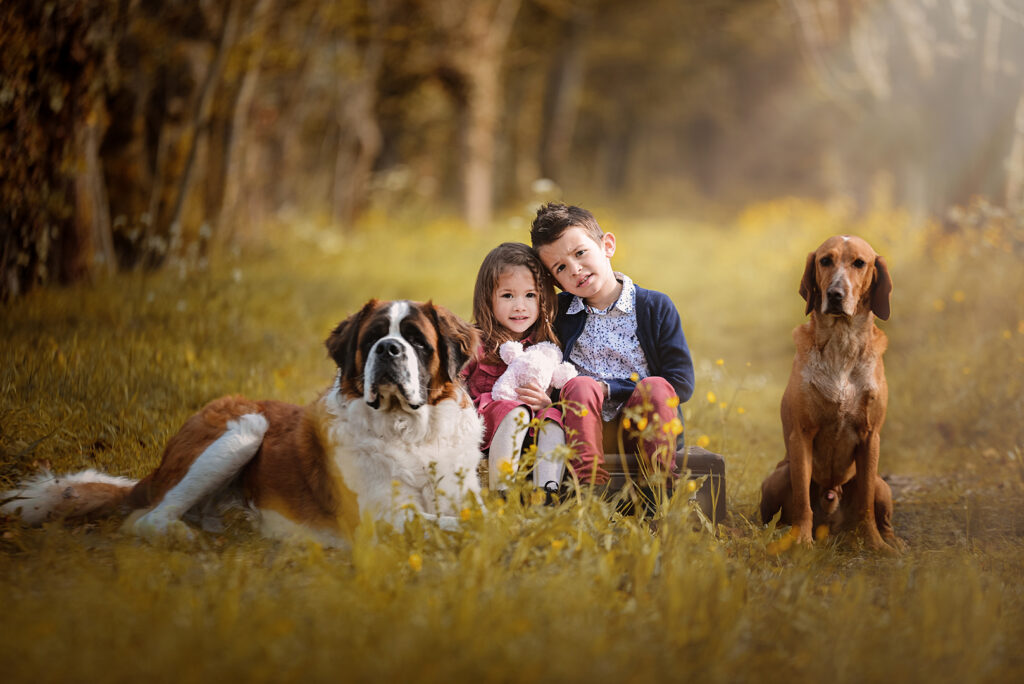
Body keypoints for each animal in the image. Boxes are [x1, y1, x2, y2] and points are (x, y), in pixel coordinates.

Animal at [0, 298, 483, 544]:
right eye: (372, 339)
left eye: (417, 341)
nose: (389, 348)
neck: (412, 436)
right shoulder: (383, 518)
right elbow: (455, 525)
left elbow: (475, 514)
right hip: (242, 430)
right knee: (145, 519)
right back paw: (183, 536)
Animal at [761, 235, 905, 548]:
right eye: (825, 260)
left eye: (860, 263)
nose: (835, 294)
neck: (842, 341)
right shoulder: (802, 434)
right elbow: (803, 501)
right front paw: (801, 542)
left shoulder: (871, 436)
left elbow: (865, 505)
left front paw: (875, 545)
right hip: (778, 477)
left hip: (882, 485)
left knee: (882, 515)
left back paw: (892, 543)